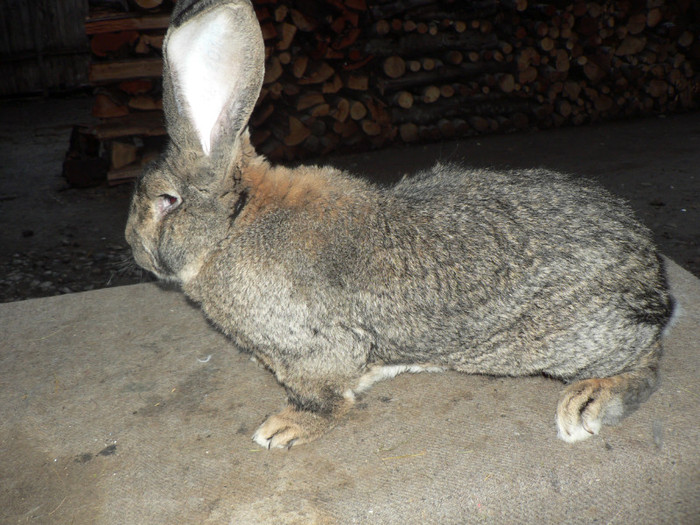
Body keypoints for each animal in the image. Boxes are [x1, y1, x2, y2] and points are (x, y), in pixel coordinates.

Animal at [124, 1, 672, 450]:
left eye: (168, 202)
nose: (132, 246)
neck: (233, 225)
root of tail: (653, 279)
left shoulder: (315, 352)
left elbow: (326, 399)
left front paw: (283, 429)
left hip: (570, 342)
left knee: (645, 359)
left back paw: (587, 404)